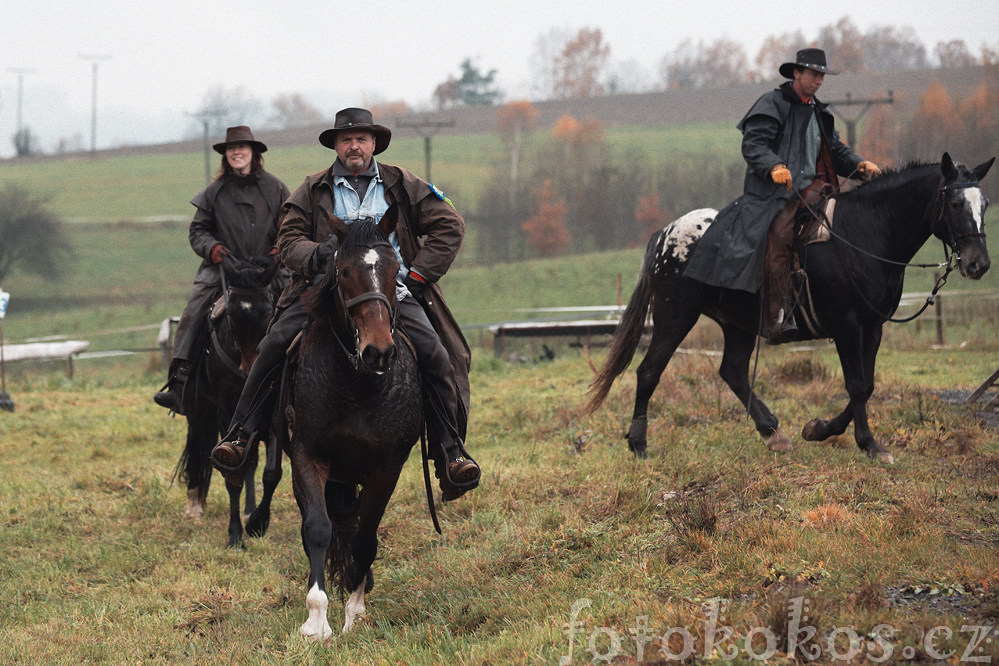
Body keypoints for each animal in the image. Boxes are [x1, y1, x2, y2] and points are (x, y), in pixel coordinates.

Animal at [174, 253, 284, 544]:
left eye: (268, 310)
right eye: (232, 315)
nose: (250, 369)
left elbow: (270, 472)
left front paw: (258, 521)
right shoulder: (225, 410)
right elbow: (228, 471)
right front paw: (235, 534)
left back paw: (249, 510)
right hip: (199, 408)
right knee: (197, 444)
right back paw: (194, 504)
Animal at [276, 214, 424, 640]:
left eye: (396, 270)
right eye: (342, 271)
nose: (379, 352)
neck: (357, 386)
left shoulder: (388, 466)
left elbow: (365, 537)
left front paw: (354, 612)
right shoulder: (307, 456)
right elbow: (317, 529)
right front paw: (316, 621)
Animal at [584, 153, 992, 462]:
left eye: (985, 204)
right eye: (955, 203)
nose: (979, 264)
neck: (866, 235)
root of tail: (666, 234)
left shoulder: (873, 327)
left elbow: (868, 384)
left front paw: (820, 429)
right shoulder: (847, 327)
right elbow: (857, 384)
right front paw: (868, 444)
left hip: (737, 324)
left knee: (732, 370)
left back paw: (772, 431)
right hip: (674, 317)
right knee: (649, 371)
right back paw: (639, 443)